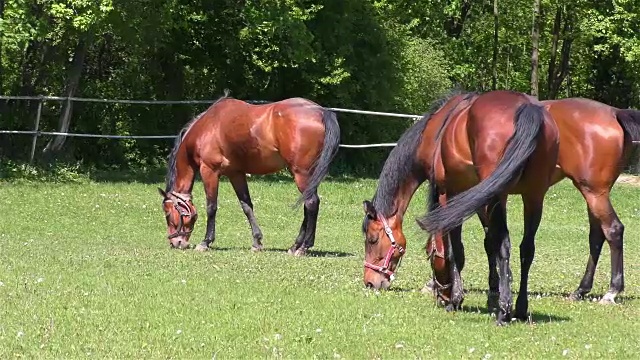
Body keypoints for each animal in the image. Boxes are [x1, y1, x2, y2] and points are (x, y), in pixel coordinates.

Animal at [157, 93, 340, 256]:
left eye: (168, 214)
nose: (175, 242)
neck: (207, 127)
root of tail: (320, 111)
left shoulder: (209, 171)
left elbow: (211, 207)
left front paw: (206, 242)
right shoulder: (236, 174)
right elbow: (247, 206)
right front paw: (257, 242)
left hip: (301, 173)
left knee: (311, 203)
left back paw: (303, 247)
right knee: (308, 204)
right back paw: (295, 246)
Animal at [416, 89, 560, 324]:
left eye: (429, 258)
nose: (439, 296)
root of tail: (526, 107)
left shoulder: (451, 195)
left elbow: (455, 250)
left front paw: (456, 299)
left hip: (497, 196)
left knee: (505, 244)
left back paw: (504, 311)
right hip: (534, 196)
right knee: (526, 248)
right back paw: (520, 308)